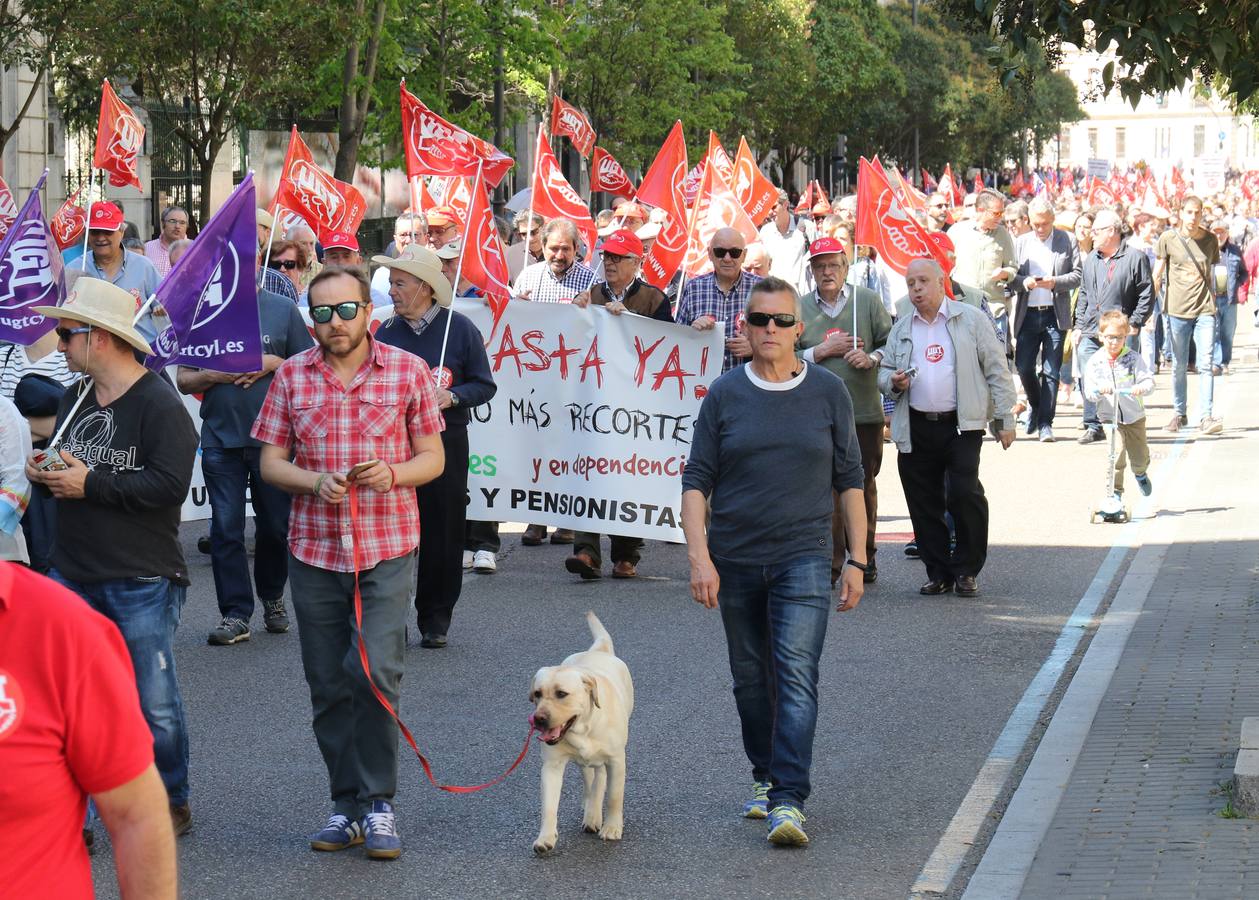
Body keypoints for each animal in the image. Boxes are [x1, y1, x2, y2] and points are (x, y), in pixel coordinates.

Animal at [528, 609, 629, 855]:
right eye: (537, 694)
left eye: (561, 694)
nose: (538, 719)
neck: (584, 728)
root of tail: (597, 650)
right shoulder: (552, 766)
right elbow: (549, 806)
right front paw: (545, 838)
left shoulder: (617, 760)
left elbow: (614, 796)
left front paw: (612, 827)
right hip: (585, 764)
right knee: (592, 779)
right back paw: (591, 811)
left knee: (601, 777)